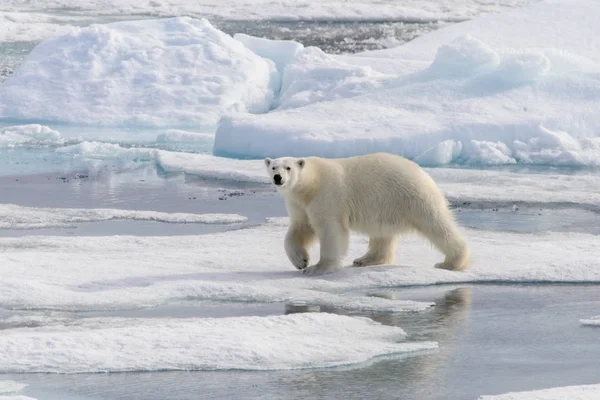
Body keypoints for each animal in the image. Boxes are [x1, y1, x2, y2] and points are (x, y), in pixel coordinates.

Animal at [266, 153, 468, 276]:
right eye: (274, 167)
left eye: (288, 168)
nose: (278, 178)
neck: (311, 183)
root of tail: (424, 174)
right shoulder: (300, 204)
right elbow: (300, 228)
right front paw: (301, 261)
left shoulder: (327, 196)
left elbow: (331, 230)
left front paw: (318, 268)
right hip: (387, 206)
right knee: (382, 234)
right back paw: (365, 259)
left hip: (411, 196)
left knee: (436, 224)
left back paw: (450, 262)